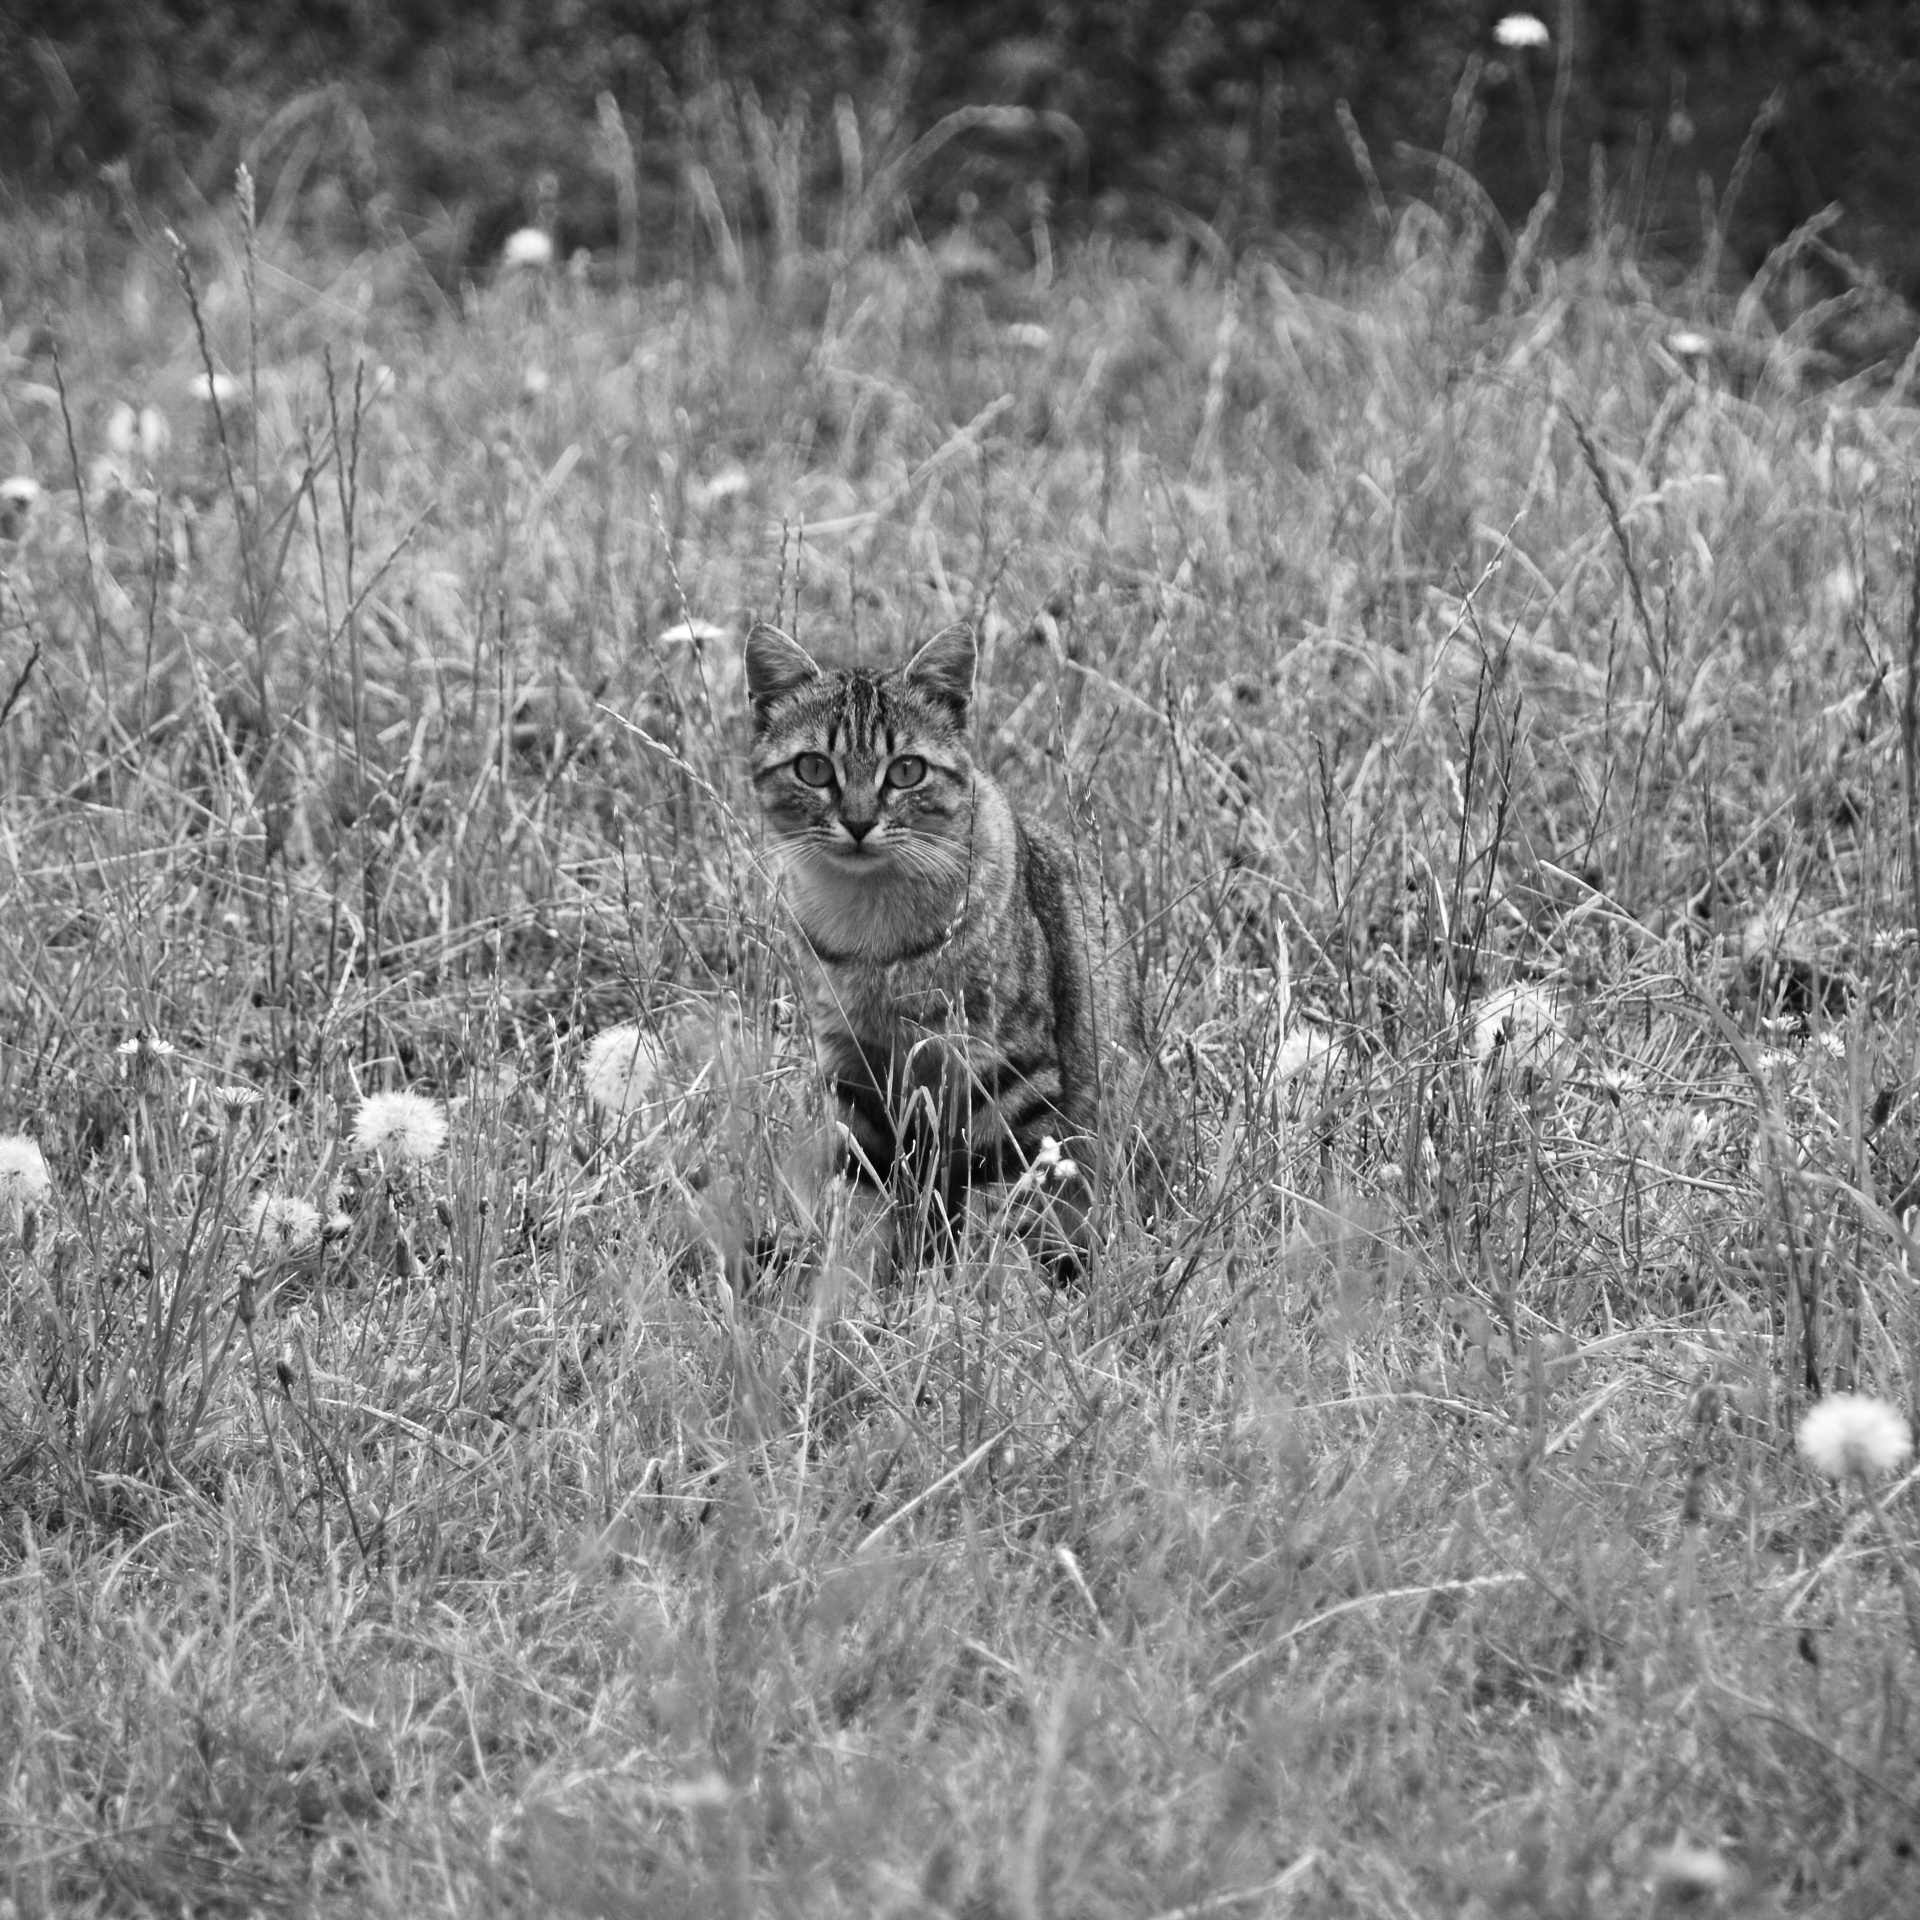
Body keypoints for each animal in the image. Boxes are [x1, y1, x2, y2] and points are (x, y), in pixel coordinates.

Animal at [741, 614, 1144, 1274]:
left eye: (907, 770)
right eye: (814, 769)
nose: (858, 822)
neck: (873, 924)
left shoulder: (1011, 1075)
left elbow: (1000, 1208)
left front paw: (991, 1288)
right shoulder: (851, 1072)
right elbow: (862, 1201)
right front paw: (854, 1284)